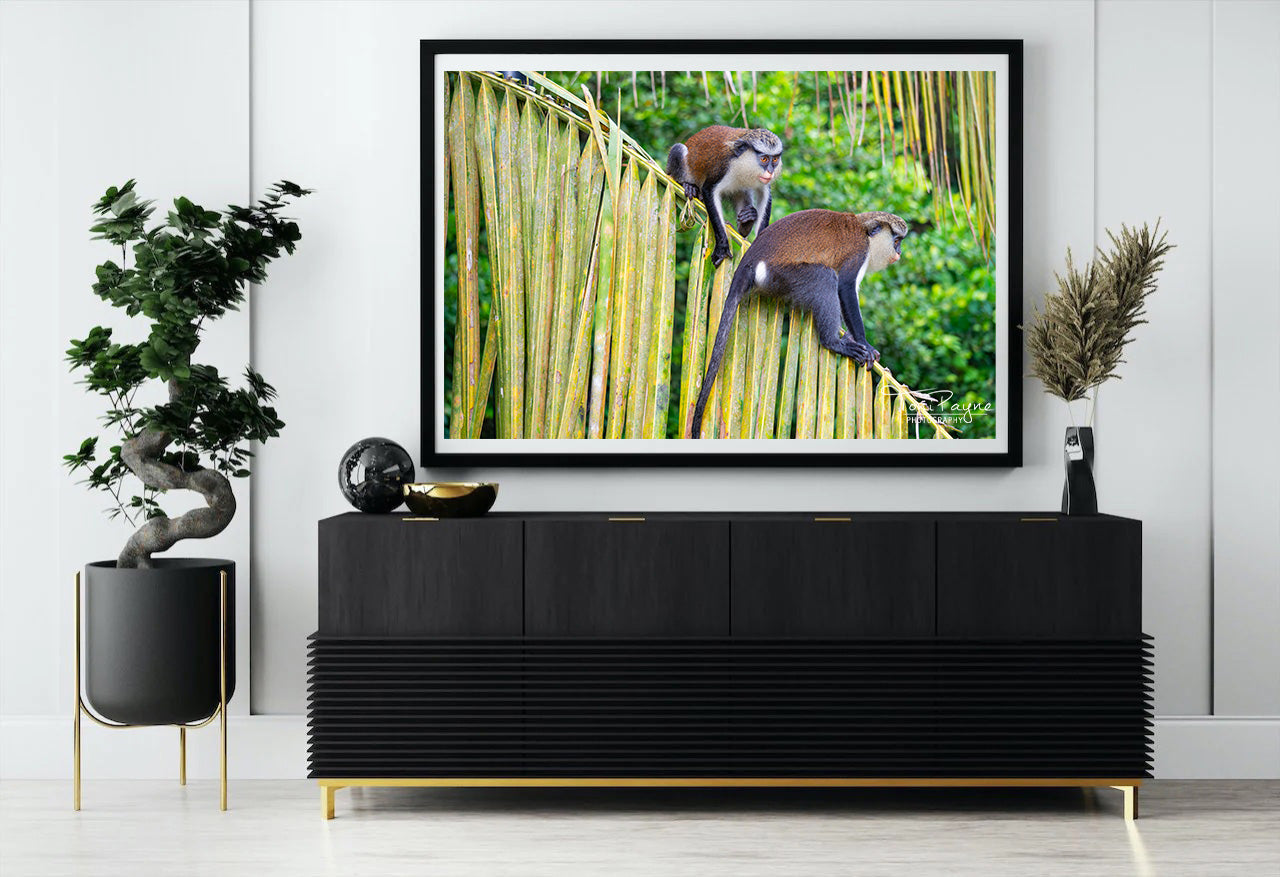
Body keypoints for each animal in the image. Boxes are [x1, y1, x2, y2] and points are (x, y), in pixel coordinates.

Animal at [665, 126, 783, 267]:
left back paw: (747, 221)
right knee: (678, 149)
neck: (743, 163)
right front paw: (722, 247)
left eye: (775, 159)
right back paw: (689, 187)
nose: (770, 172)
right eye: (764, 159)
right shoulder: (722, 167)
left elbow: (765, 196)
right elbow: (709, 190)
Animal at [690, 209, 909, 439]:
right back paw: (833, 342)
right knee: (824, 277)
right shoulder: (859, 252)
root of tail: (750, 261)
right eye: (896, 241)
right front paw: (865, 344)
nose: (899, 252)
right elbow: (846, 288)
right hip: (781, 276)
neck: (863, 227)